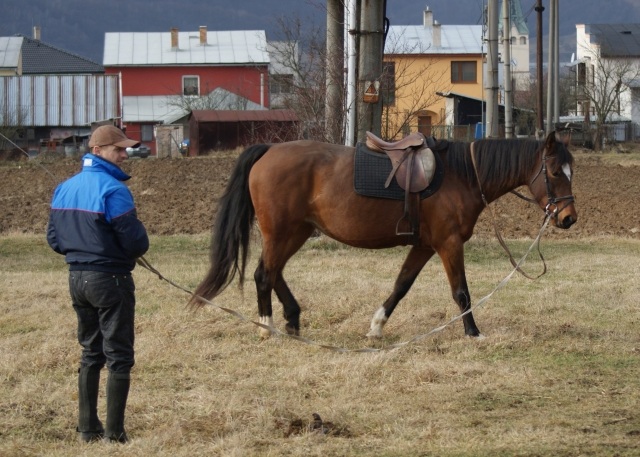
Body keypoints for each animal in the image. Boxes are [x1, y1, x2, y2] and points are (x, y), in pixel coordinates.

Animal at [190, 132, 576, 338]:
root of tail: (269, 149)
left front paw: (376, 327)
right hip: (281, 231)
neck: (462, 175)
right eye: (556, 172)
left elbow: (401, 285)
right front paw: (473, 333)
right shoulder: (448, 244)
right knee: (263, 274)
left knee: (273, 273)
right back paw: (267, 325)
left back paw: (293, 318)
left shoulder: (424, 245)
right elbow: (461, 292)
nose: (569, 218)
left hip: (296, 231)